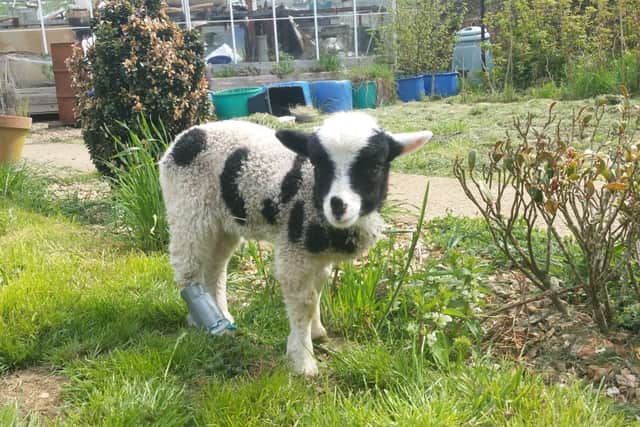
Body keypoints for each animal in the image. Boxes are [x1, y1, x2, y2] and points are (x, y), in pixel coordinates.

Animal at [158, 112, 433, 376]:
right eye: (318, 164)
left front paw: (316, 332)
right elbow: (305, 302)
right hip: (188, 207)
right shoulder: (294, 251)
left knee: (216, 269)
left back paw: (222, 317)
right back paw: (205, 320)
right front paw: (303, 360)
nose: (338, 206)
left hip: (223, 222)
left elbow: (318, 288)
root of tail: (184, 137)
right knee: (188, 269)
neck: (312, 193)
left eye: (375, 166)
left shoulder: (317, 255)